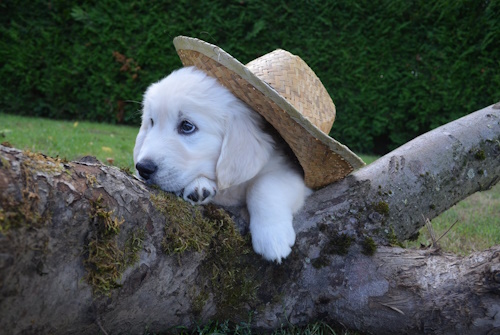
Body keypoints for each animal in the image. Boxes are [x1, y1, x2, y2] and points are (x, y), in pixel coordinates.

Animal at [135, 67, 310, 264]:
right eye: (151, 122)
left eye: (187, 126)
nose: (143, 168)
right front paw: (199, 186)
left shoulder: (291, 171)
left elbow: (263, 186)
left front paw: (272, 237)